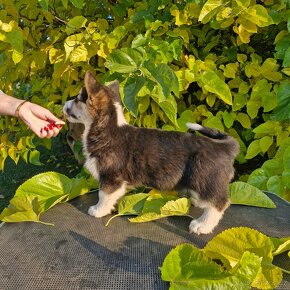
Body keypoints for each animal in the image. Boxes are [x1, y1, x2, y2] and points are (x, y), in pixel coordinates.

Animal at [64, 71, 240, 236]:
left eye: (78, 99)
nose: (63, 105)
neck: (108, 128)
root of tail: (224, 147)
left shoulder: (111, 178)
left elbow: (103, 195)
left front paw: (97, 210)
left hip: (204, 180)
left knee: (219, 203)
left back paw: (202, 225)